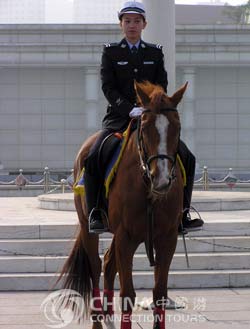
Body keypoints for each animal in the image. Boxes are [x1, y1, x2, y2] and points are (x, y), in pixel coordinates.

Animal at [59, 80, 188, 328]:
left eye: (177, 127)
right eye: (145, 127)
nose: (162, 179)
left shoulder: (167, 238)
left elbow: (160, 293)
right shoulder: (125, 236)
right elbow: (128, 294)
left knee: (109, 263)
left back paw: (108, 315)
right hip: (89, 226)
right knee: (95, 266)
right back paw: (98, 318)